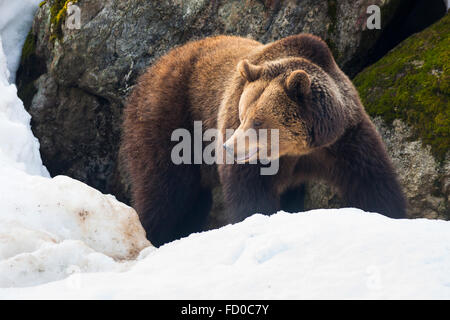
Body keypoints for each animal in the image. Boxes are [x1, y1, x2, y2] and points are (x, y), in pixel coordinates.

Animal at [120, 33, 408, 246]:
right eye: (241, 113)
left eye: (258, 121)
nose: (228, 148)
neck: (297, 150)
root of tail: (153, 68)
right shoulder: (254, 157)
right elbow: (249, 193)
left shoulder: (344, 139)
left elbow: (371, 180)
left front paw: (390, 214)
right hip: (170, 117)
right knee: (164, 191)